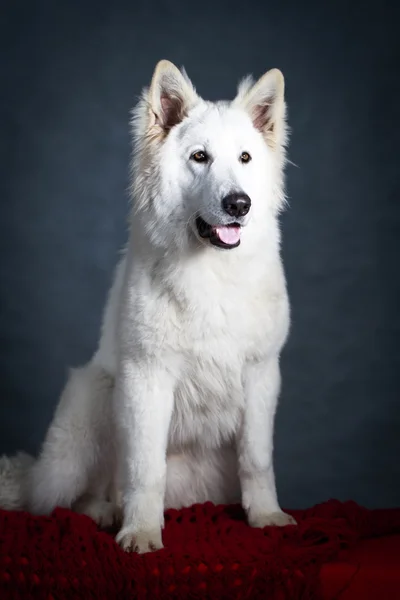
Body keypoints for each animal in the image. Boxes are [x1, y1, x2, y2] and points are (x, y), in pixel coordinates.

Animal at [5, 59, 296, 552]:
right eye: (200, 157)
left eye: (244, 158)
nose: (238, 204)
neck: (212, 273)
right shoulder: (147, 377)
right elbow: (144, 469)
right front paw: (140, 531)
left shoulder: (261, 376)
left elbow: (256, 460)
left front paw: (266, 517)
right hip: (95, 396)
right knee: (64, 499)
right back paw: (106, 512)